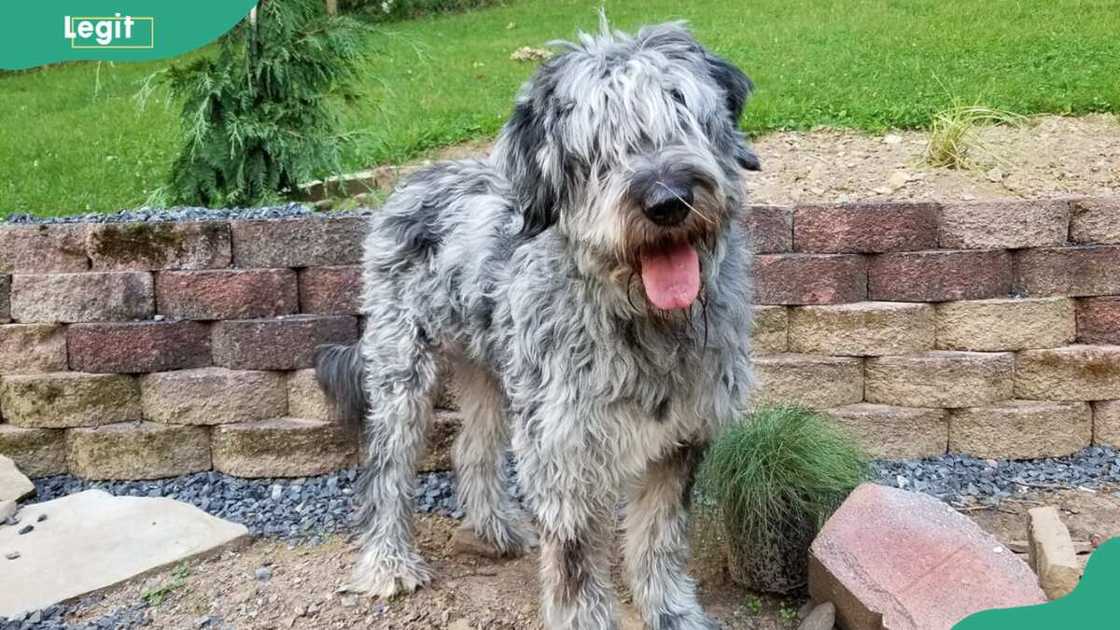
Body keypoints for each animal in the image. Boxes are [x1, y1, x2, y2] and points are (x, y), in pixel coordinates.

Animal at [313, 20, 761, 627]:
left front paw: (672, 613)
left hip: (489, 369)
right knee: (386, 465)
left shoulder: (681, 438)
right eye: (596, 148)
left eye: (685, 115)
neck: (643, 324)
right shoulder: (562, 446)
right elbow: (574, 561)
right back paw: (389, 563)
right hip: (401, 369)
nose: (668, 201)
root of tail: (417, 177)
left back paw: (494, 530)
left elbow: (658, 538)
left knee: (471, 448)